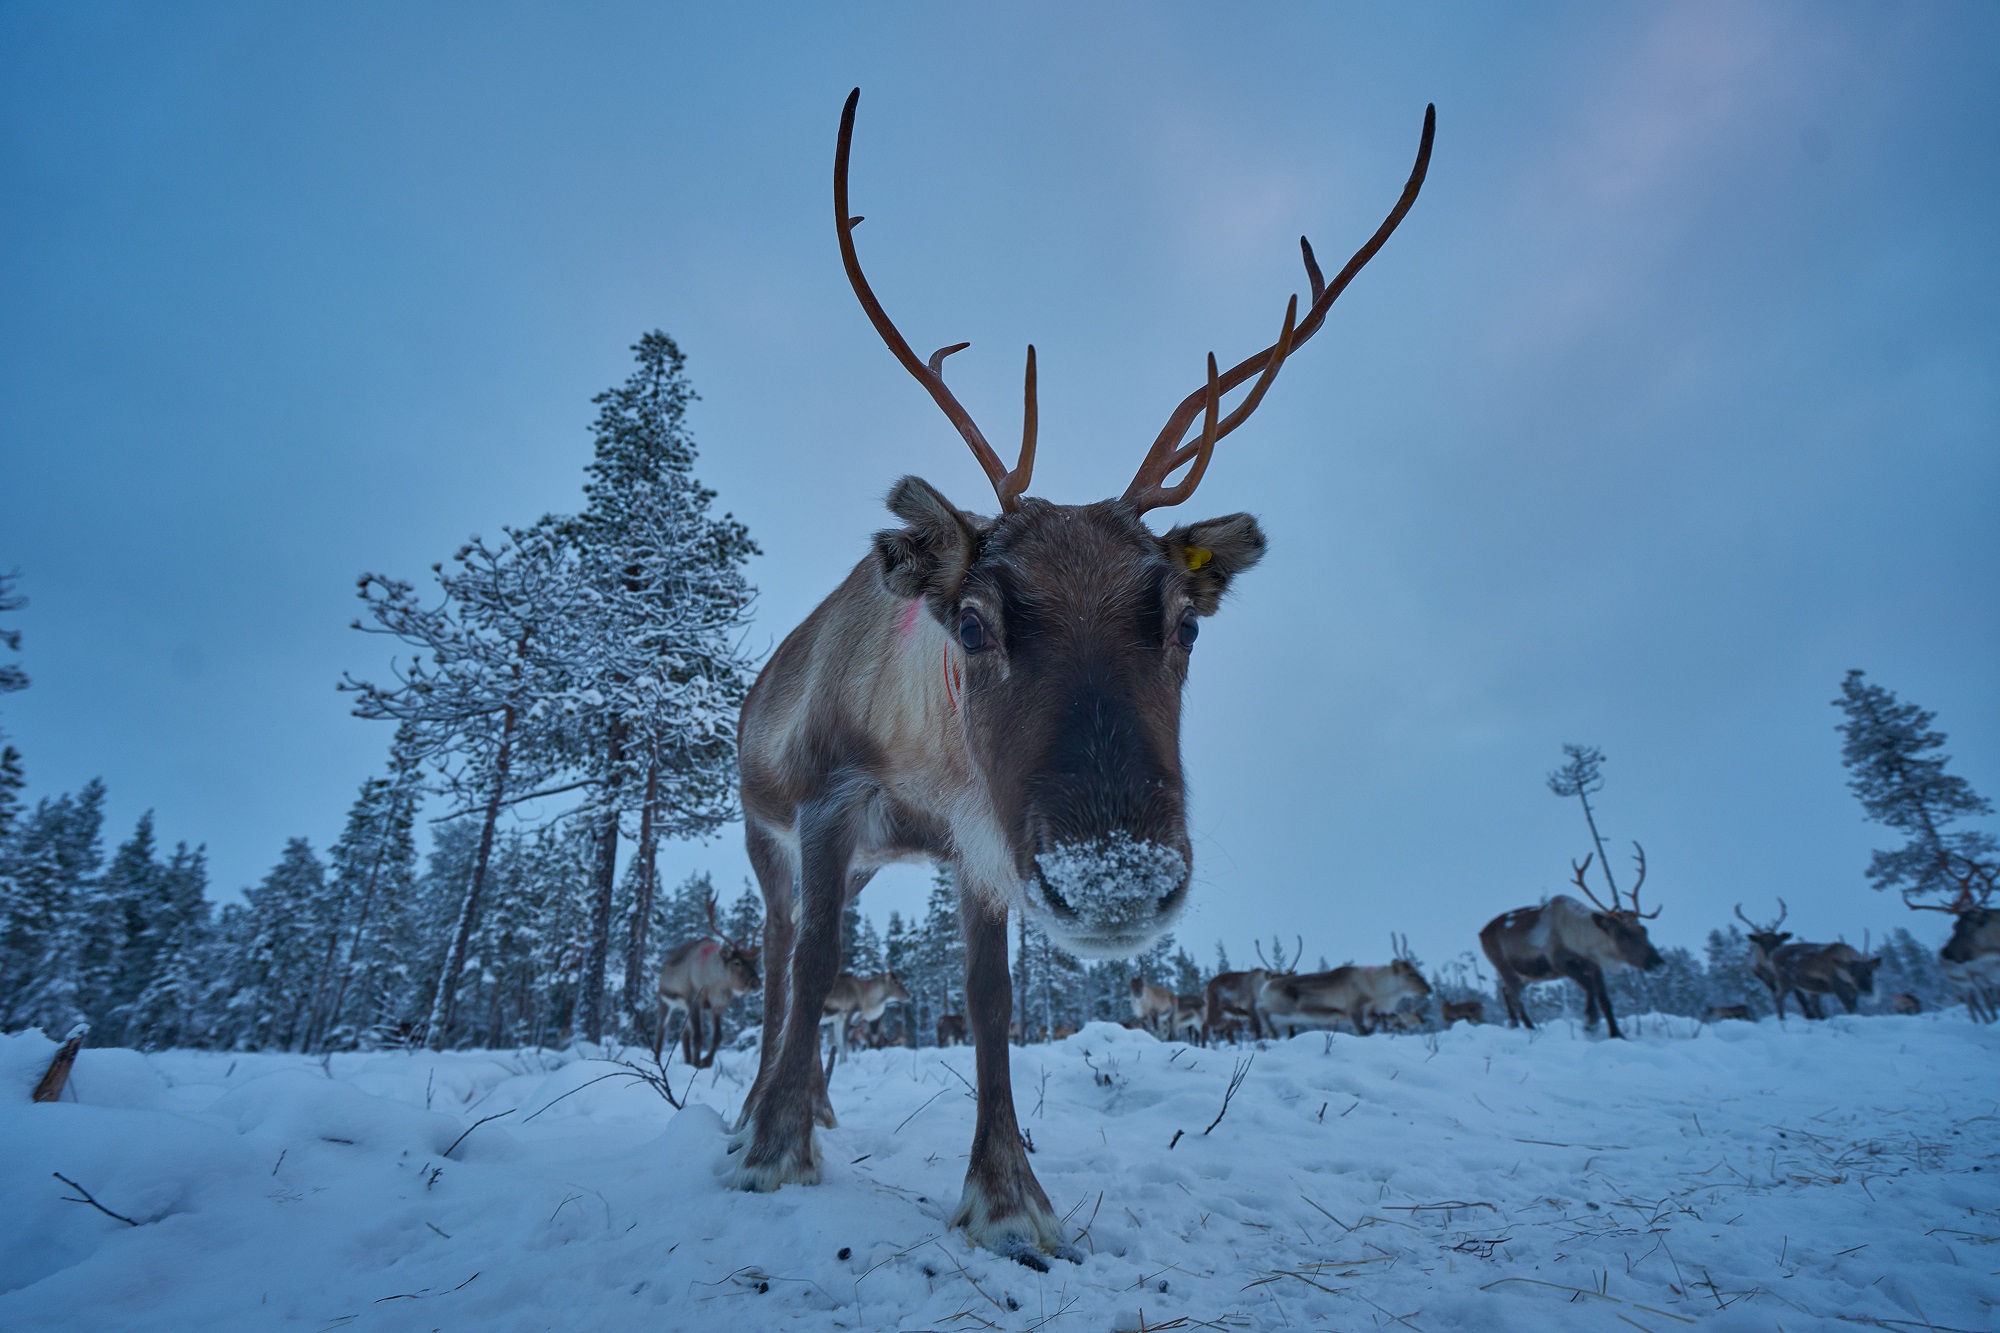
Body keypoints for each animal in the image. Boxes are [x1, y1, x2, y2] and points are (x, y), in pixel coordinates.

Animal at [655, 894, 761, 1068]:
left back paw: (687, 1060)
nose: (756, 983)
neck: (715, 985)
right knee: (662, 1030)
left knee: (684, 1034)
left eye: (755, 962)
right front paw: (698, 1062)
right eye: (737, 962)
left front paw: (706, 1061)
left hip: (684, 1008)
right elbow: (698, 1036)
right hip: (665, 1001)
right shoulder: (694, 1000)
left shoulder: (718, 1006)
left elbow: (718, 1036)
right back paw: (658, 1060)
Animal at [724, 86, 1435, 1264]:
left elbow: (989, 998)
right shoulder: (830, 800)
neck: (928, 761)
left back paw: (818, 1102)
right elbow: (818, 964)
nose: (1117, 878)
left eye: (1185, 623)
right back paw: (758, 1108)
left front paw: (1010, 1195)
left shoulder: (977, 843)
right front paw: (771, 1151)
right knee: (782, 957)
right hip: (760, 829)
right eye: (971, 621)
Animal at [1480, 846, 1663, 1039]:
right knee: (1517, 997)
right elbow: (1590, 987)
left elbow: (1605, 999)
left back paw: (1514, 1024)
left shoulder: (1594, 966)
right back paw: (1530, 1027)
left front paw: (1617, 1034)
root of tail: (1481, 933)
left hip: (1526, 975)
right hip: (1504, 967)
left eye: (1644, 929)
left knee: (1506, 991)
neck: (1583, 939)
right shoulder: (1560, 963)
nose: (1658, 963)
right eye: (1622, 934)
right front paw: (1590, 1022)